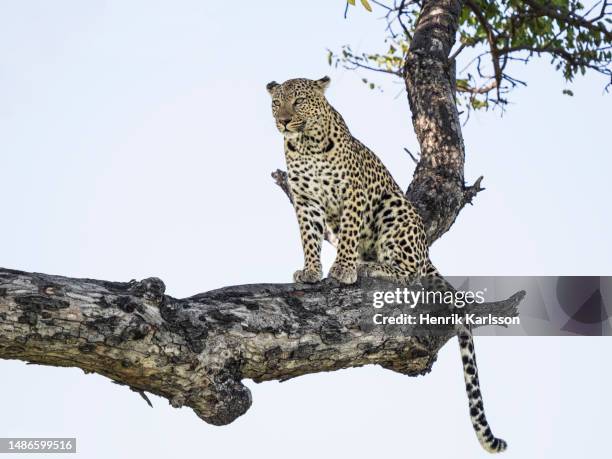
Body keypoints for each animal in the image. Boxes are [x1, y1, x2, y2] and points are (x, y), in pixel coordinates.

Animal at [266, 76, 506, 452]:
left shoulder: (353, 193)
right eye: (277, 103)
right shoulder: (305, 201)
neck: (306, 145)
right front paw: (310, 271)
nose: (285, 121)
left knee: (411, 273)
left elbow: (349, 233)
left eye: (299, 100)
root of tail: (425, 250)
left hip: (395, 210)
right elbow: (308, 237)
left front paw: (343, 269)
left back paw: (370, 267)